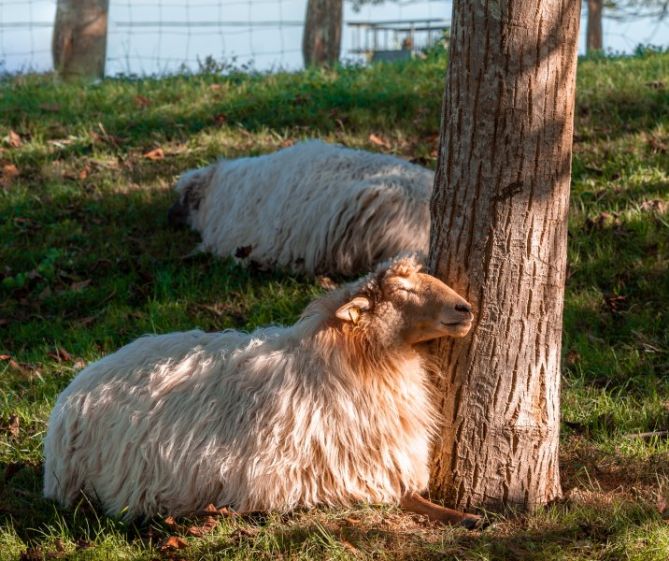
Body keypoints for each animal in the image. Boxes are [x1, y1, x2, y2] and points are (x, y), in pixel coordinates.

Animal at [43, 256, 480, 528]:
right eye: (402, 292)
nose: (466, 309)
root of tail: (70, 393)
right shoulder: (347, 473)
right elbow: (407, 498)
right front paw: (465, 517)